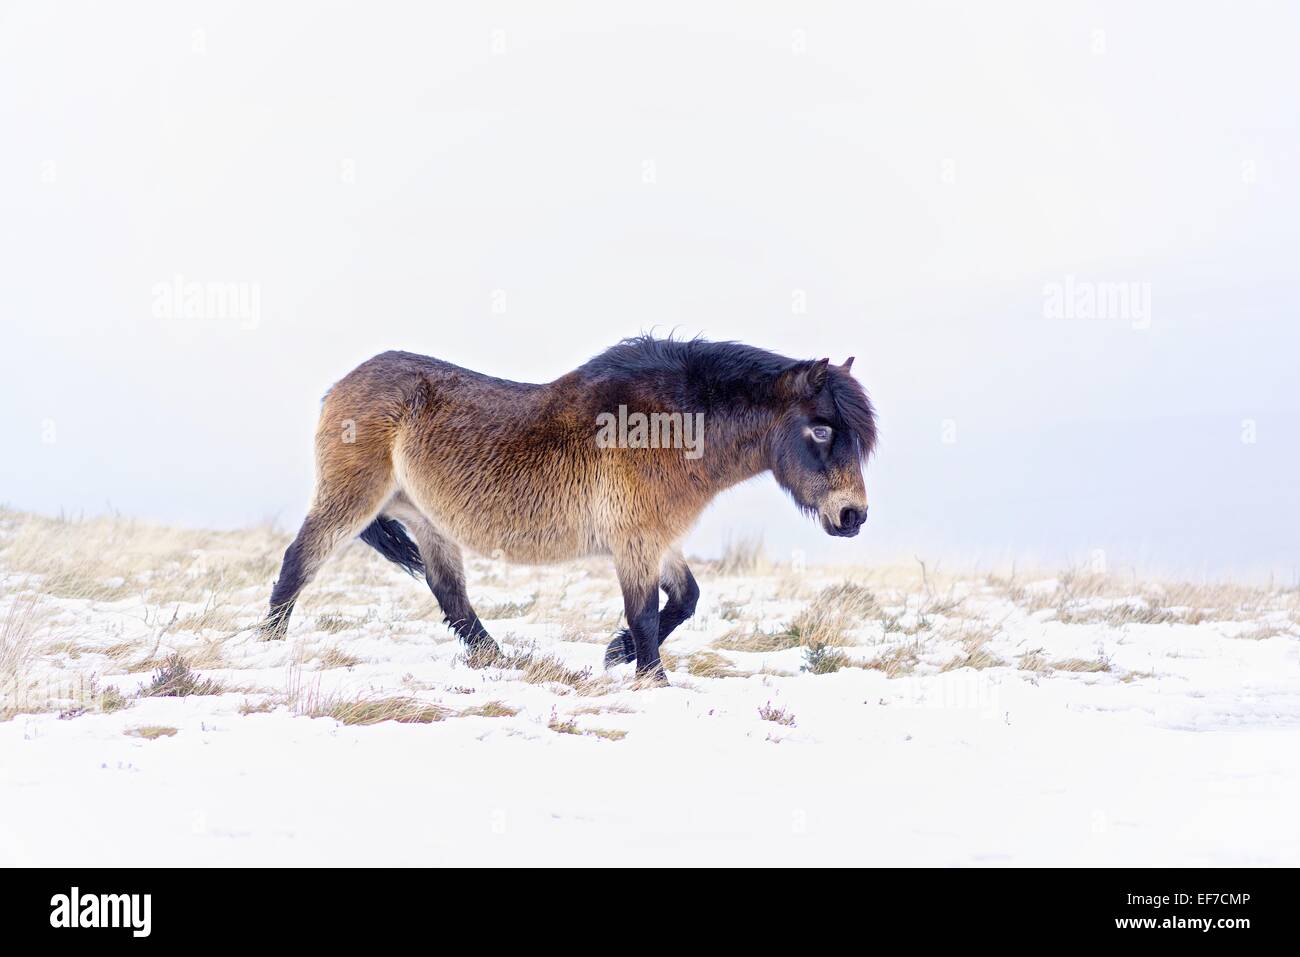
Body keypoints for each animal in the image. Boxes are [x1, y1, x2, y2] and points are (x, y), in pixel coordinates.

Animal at [261, 336, 877, 683]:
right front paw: (652, 681)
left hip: (425, 520)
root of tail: (340, 386)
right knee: (299, 561)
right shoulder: (635, 542)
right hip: (352, 499)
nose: (853, 517)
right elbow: (645, 612)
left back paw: (501, 661)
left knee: (451, 595)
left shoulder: (658, 540)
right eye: (822, 430)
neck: (670, 424)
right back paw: (266, 646)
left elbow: (685, 600)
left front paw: (615, 654)